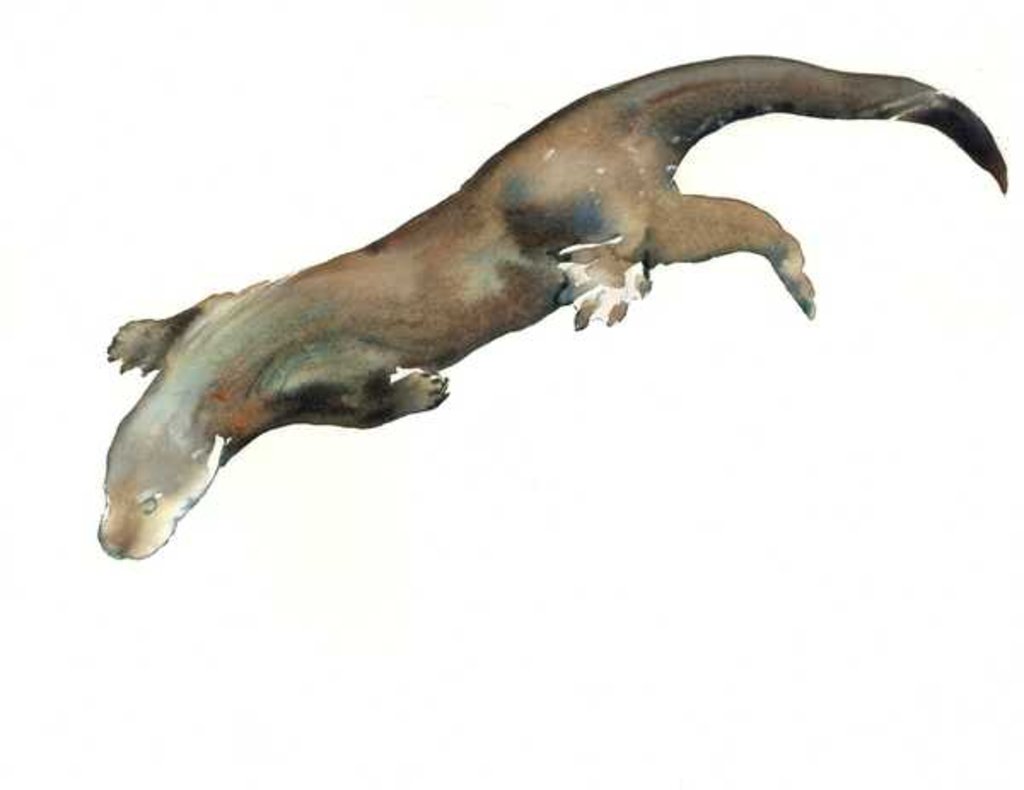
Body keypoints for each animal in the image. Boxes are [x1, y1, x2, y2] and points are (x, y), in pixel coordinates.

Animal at [98, 56, 1007, 560]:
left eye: (150, 504)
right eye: (99, 495)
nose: (114, 549)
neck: (231, 366)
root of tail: (602, 113)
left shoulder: (319, 369)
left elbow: (368, 403)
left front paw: (424, 389)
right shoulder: (222, 311)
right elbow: (194, 306)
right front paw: (135, 339)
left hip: (603, 201)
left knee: (700, 228)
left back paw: (626, 283)